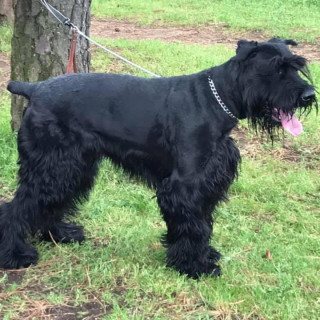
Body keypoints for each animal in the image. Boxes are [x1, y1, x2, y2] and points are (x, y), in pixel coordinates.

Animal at [0, 38, 316, 278]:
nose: (309, 95)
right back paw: (15, 255)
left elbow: (200, 222)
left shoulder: (205, 183)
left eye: (297, 66)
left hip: (72, 167)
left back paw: (59, 234)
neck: (217, 100)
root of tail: (35, 89)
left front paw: (198, 256)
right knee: (19, 206)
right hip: (53, 165)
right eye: (275, 69)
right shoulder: (184, 185)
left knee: (49, 202)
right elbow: (195, 225)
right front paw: (196, 266)